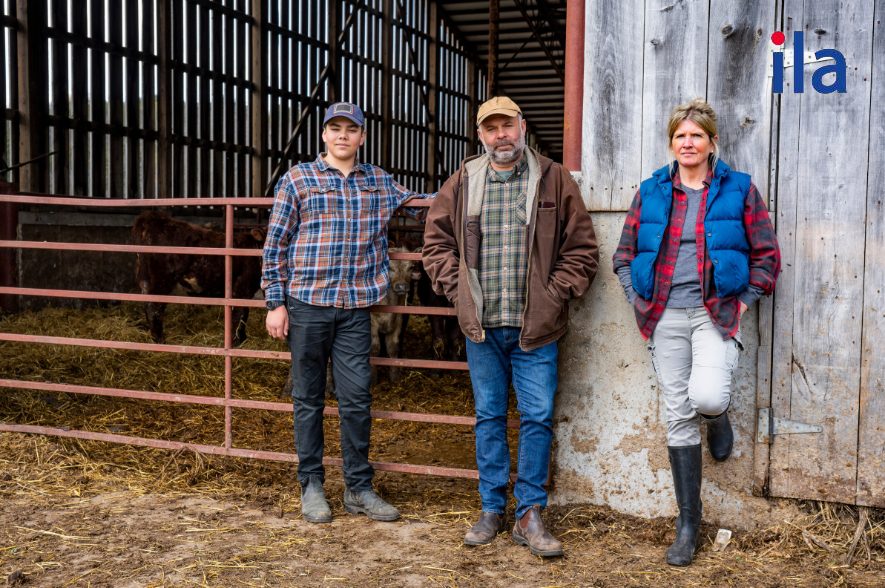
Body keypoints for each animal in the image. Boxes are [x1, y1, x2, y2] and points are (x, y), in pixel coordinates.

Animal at [130, 210, 262, 344]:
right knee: (154, 309)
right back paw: (160, 340)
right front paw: (237, 340)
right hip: (160, 281)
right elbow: (241, 314)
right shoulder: (242, 289)